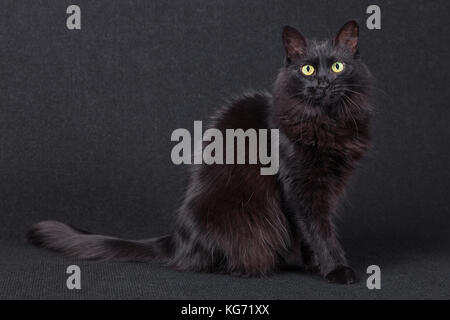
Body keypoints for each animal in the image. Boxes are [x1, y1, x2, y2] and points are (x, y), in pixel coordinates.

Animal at [28, 21, 372, 284]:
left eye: (338, 67)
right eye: (308, 69)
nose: (324, 83)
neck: (326, 123)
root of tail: (177, 238)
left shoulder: (323, 188)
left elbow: (311, 233)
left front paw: (316, 266)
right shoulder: (300, 188)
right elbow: (319, 231)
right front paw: (337, 270)